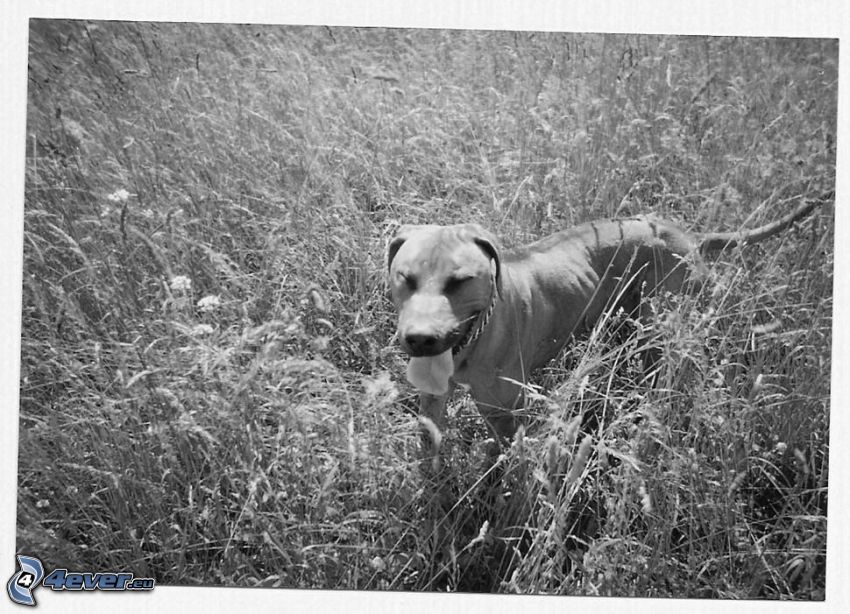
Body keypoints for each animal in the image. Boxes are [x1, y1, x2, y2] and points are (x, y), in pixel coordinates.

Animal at [388, 200, 820, 464]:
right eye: (404, 278)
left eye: (460, 281)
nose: (420, 340)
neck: (476, 336)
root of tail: (688, 236)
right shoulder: (433, 398)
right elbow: (430, 440)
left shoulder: (504, 413)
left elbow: (503, 460)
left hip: (660, 327)